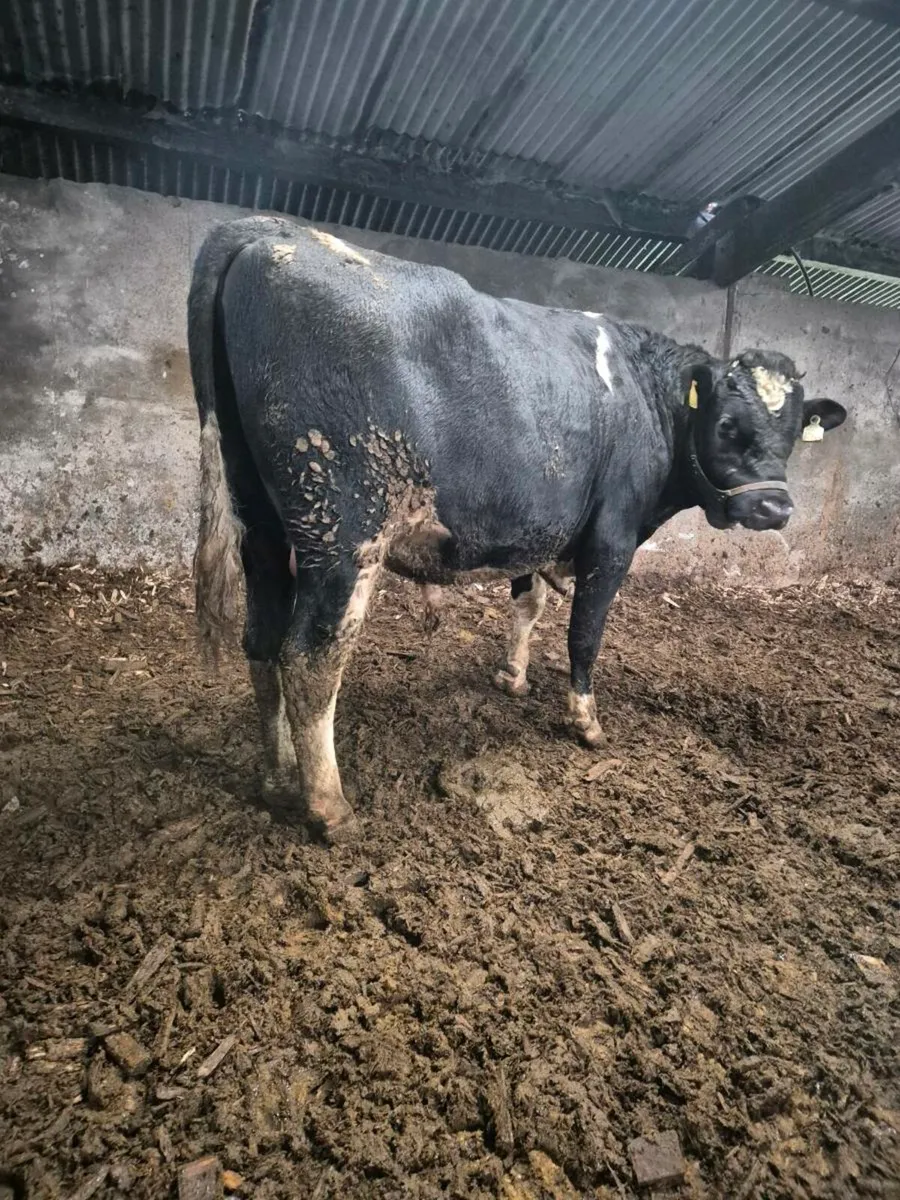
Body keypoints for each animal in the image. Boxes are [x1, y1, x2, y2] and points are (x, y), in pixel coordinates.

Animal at [188, 216, 846, 843]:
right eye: (727, 425)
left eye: (794, 431)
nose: (773, 510)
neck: (644, 395)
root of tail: (273, 230)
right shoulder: (612, 537)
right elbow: (585, 633)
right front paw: (585, 722)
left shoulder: (537, 528)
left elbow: (528, 604)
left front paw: (512, 676)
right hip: (343, 530)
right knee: (310, 659)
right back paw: (329, 807)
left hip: (261, 526)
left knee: (262, 640)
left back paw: (276, 779)